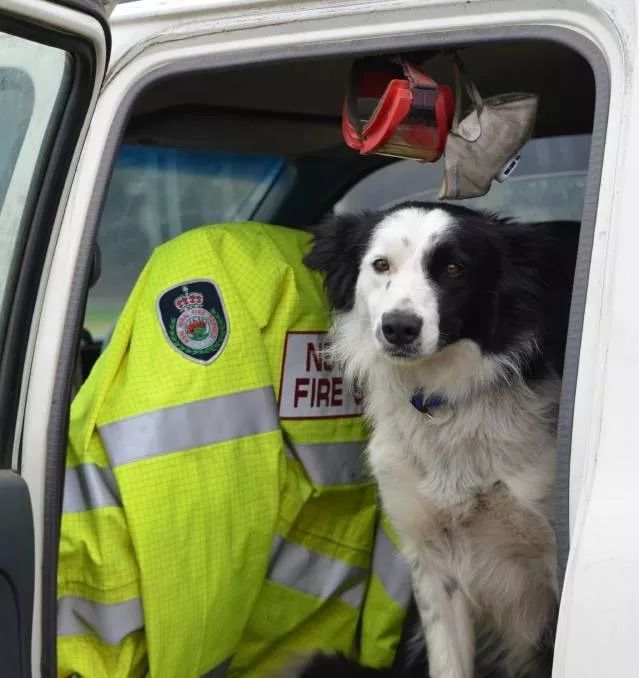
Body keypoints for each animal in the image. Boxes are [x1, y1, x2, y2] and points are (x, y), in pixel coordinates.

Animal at [300, 205, 580, 678]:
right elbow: (448, 663)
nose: (399, 328)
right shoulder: (432, 563)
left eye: (453, 269)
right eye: (381, 265)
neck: (442, 402)